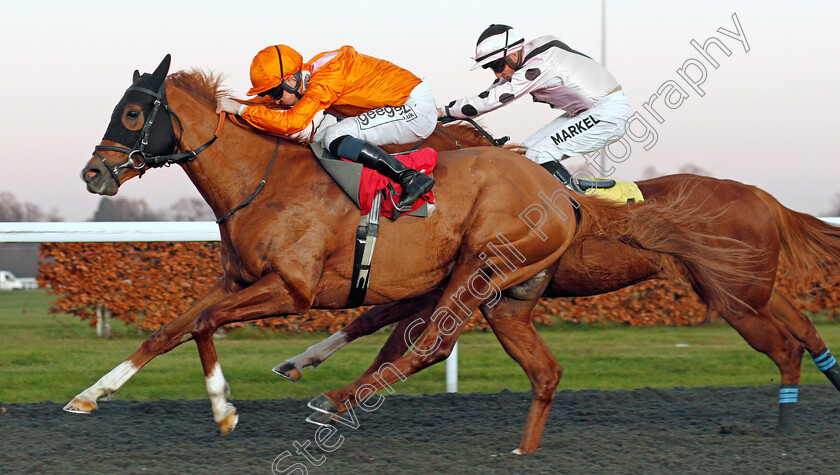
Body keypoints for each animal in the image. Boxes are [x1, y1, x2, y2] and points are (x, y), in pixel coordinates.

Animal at [74, 54, 756, 438]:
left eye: (132, 115)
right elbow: (173, 329)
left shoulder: (289, 289)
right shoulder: (237, 280)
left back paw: (335, 397)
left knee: (430, 342)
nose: (95, 173)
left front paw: (223, 409)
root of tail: (563, 195)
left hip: (480, 266)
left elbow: (203, 324)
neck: (259, 181)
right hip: (502, 292)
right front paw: (91, 394)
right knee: (507, 360)